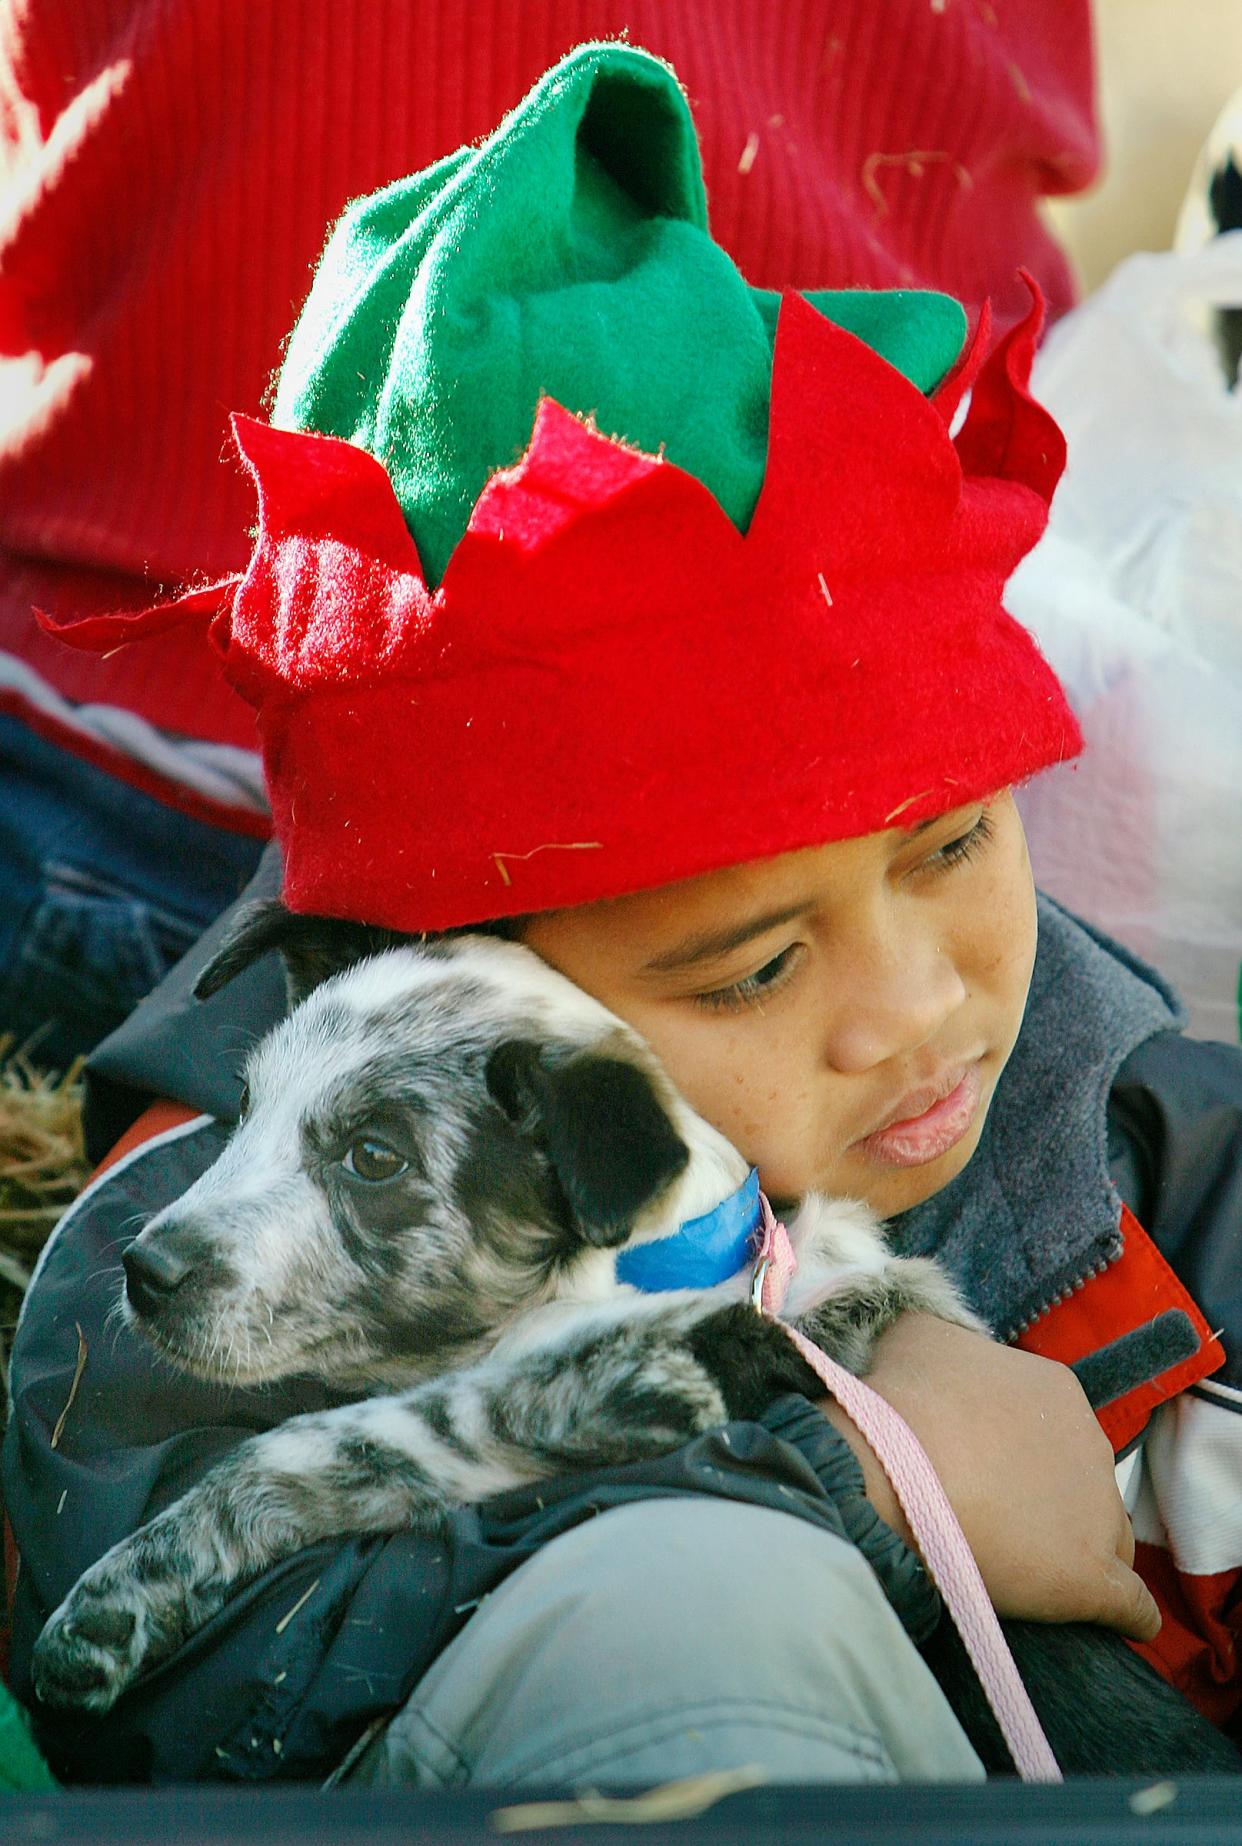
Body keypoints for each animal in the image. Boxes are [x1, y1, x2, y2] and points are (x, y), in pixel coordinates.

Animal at [31, 904, 1240, 1772]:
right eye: (243, 1111)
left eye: (373, 1157)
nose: (145, 1274)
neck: (630, 1266)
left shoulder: (560, 1397)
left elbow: (304, 1444)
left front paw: (102, 1612)